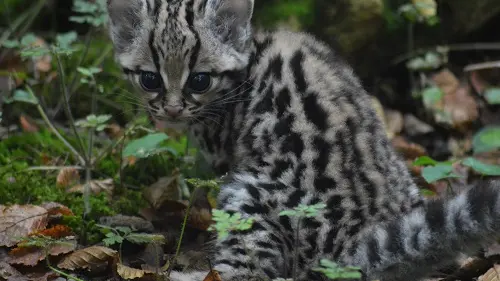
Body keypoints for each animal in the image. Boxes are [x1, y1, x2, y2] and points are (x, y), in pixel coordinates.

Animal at [105, 1, 500, 278]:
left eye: (199, 80)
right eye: (150, 79)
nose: (172, 110)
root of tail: (357, 241)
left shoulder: (224, 155)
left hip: (251, 195)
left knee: (252, 271)